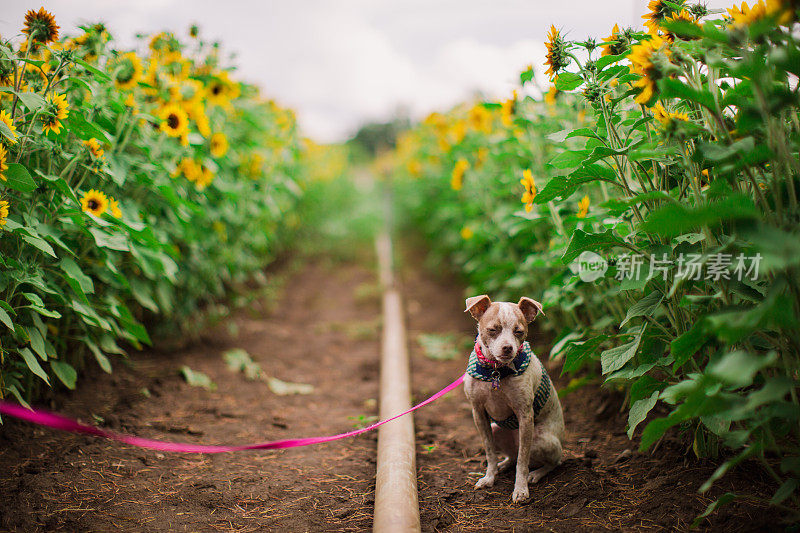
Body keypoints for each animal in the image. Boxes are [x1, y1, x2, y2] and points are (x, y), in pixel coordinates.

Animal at [460, 294, 564, 500]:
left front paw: (521, 489)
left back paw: (536, 474)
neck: (496, 371)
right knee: (513, 456)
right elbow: (490, 452)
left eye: (519, 332)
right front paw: (489, 477)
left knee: (551, 461)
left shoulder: (525, 416)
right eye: (492, 330)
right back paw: (503, 465)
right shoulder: (479, 413)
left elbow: (523, 461)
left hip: (541, 440)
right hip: (496, 430)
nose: (508, 348)